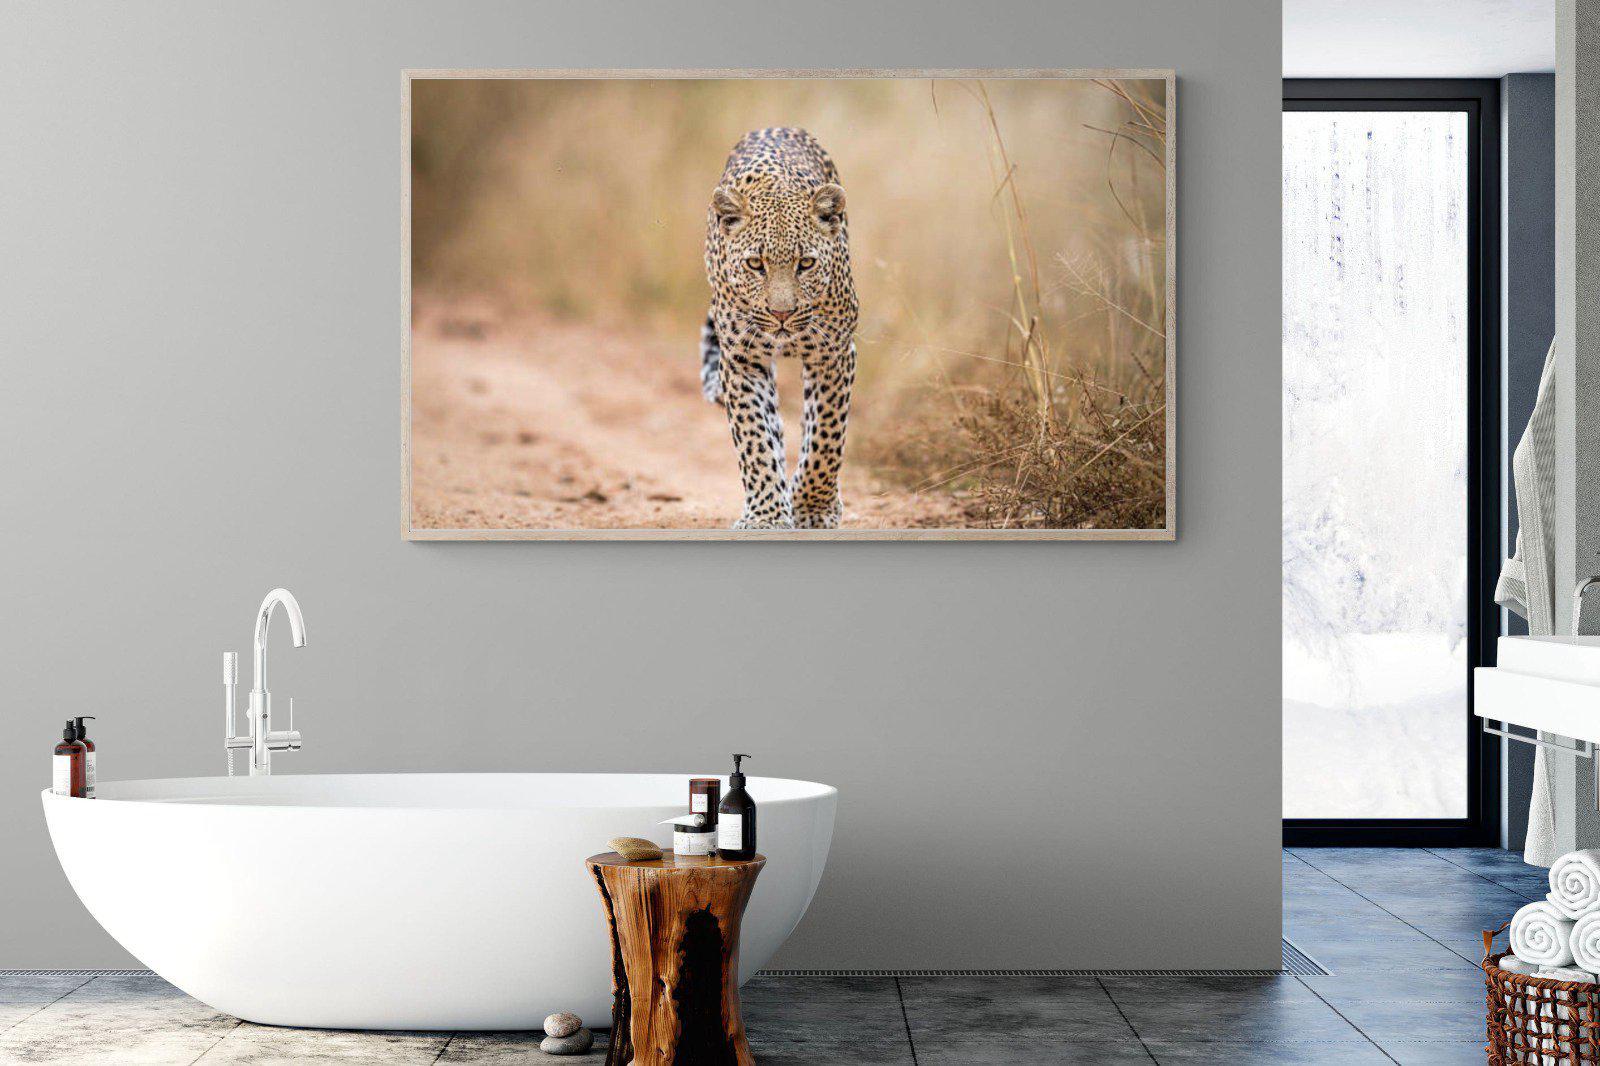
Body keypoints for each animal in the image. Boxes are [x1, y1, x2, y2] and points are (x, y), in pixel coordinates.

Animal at [701, 127, 859, 530]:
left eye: (806, 264)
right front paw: (766, 516)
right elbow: (755, 438)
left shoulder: (834, 354)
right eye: (756, 264)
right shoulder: (741, 360)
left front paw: (813, 509)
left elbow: (826, 436)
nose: (781, 313)